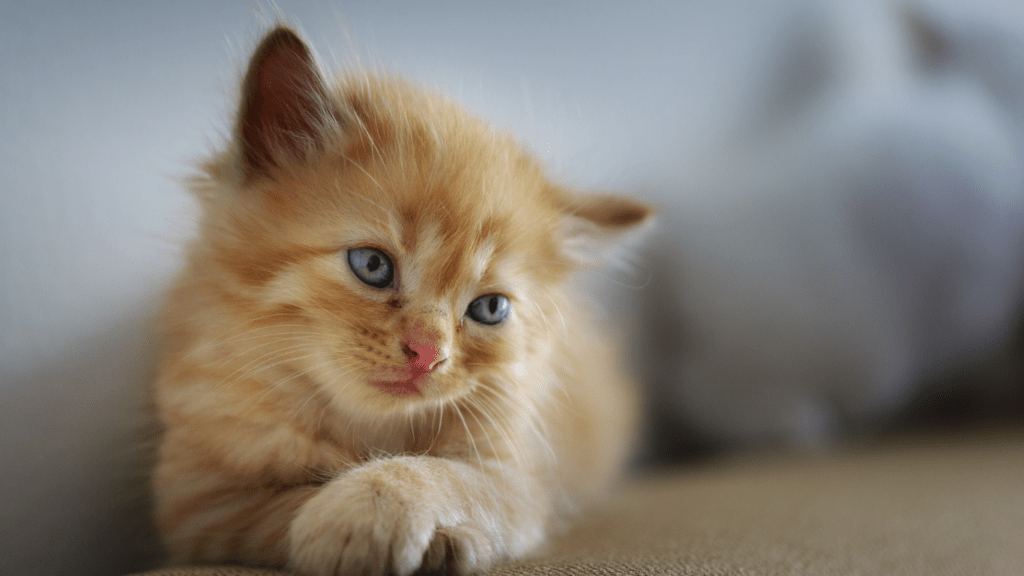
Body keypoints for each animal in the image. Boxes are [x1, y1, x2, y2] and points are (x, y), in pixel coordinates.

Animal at [149, 24, 651, 569]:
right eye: (372, 266)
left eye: (489, 308)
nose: (429, 354)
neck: (368, 428)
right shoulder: (200, 503)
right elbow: (283, 505)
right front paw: (357, 530)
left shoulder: (516, 480)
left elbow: (439, 472)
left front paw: (379, 510)